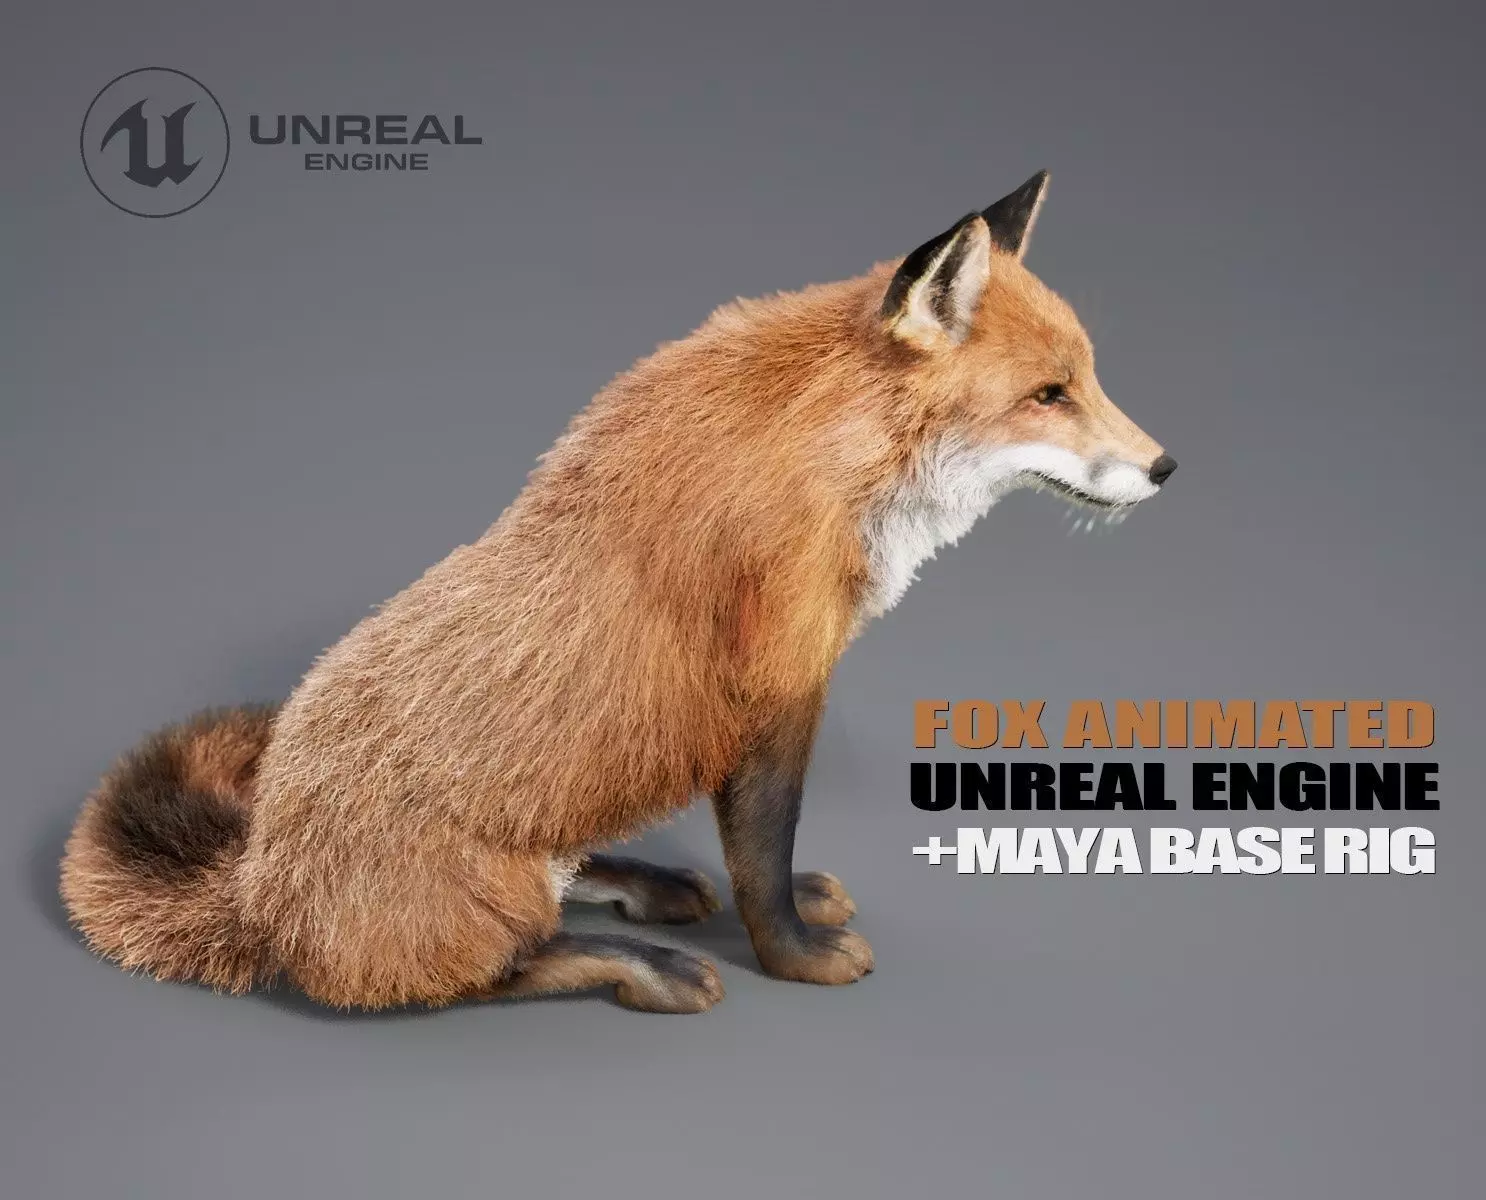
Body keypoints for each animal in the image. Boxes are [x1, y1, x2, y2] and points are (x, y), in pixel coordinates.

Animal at [60, 172, 1175, 1013]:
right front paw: (793, 957)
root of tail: (259, 879)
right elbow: (763, 854)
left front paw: (784, 910)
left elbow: (764, 857)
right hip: (488, 903)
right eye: (1047, 396)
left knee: (572, 882)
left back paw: (653, 886)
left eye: (1088, 377)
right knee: (498, 968)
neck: (831, 450)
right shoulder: (776, 688)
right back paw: (642, 966)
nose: (1166, 468)